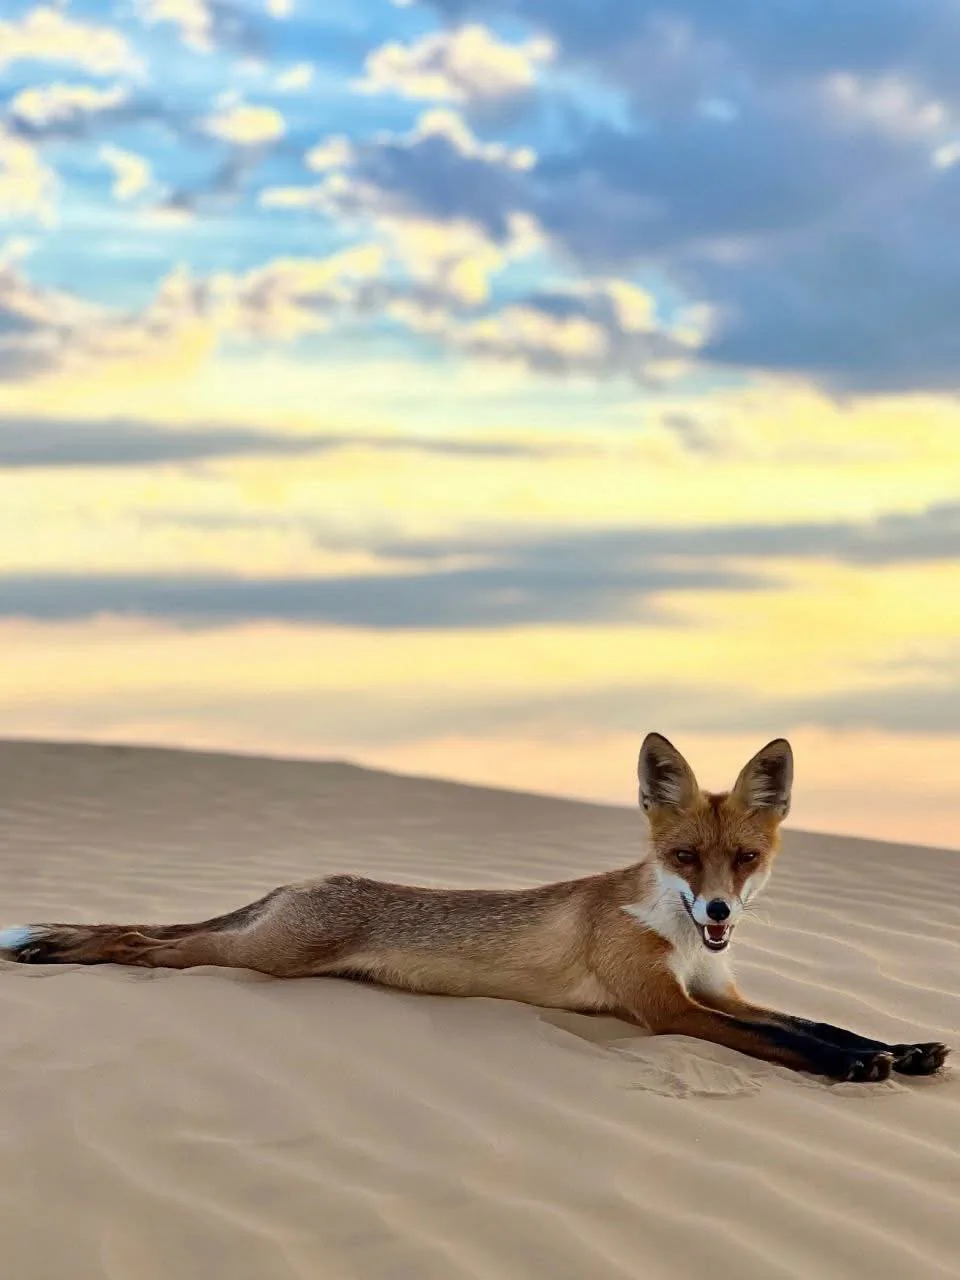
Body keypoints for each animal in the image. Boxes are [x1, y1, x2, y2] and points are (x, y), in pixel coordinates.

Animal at [0, 733, 949, 1083]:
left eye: (744, 860)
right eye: (684, 857)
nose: (717, 909)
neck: (684, 942)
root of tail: (305, 880)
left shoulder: (718, 991)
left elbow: (816, 1022)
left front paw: (899, 1048)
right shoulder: (669, 1011)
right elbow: (783, 1043)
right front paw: (857, 1069)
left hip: (255, 943)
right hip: (255, 958)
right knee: (142, 942)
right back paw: (57, 952)